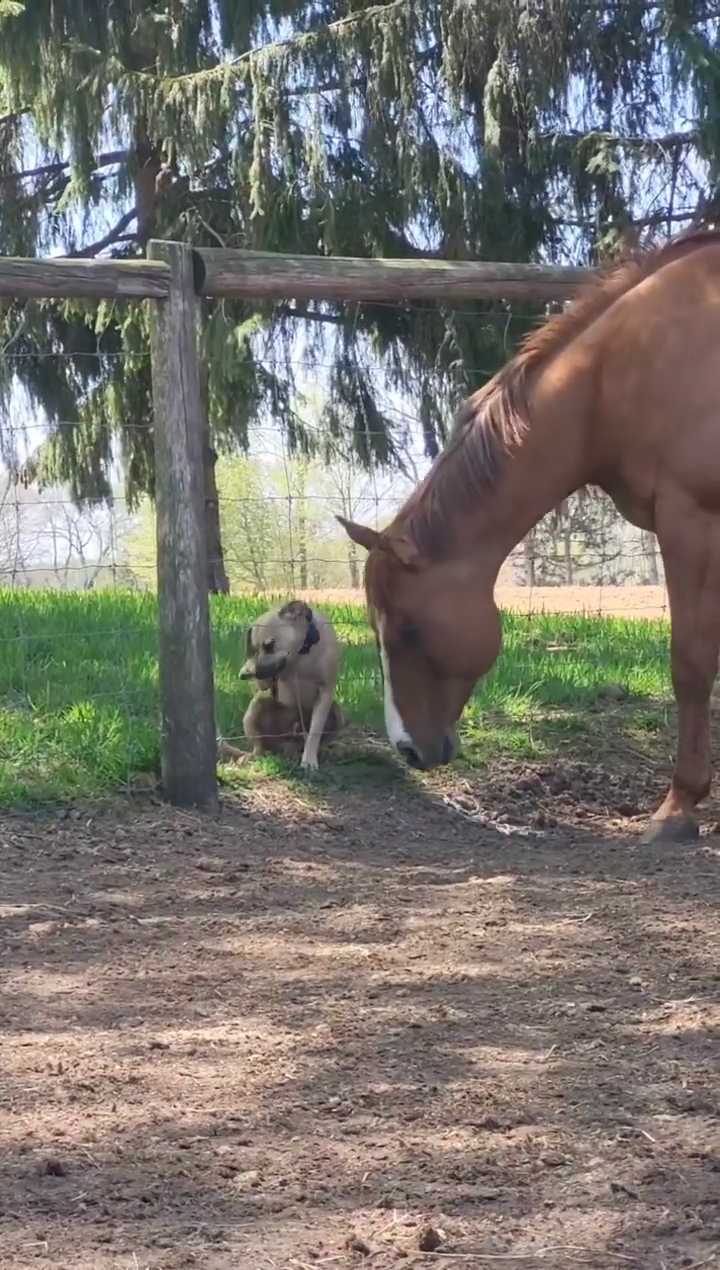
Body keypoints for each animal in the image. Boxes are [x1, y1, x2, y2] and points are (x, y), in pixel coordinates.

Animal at [219, 599, 342, 767]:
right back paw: (250, 756)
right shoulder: (267, 682)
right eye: (255, 649)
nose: (255, 672)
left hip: (336, 712)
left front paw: (309, 760)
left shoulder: (325, 691)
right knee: (259, 746)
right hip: (256, 708)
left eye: (270, 645)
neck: (301, 654)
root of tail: (286, 745)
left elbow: (315, 730)